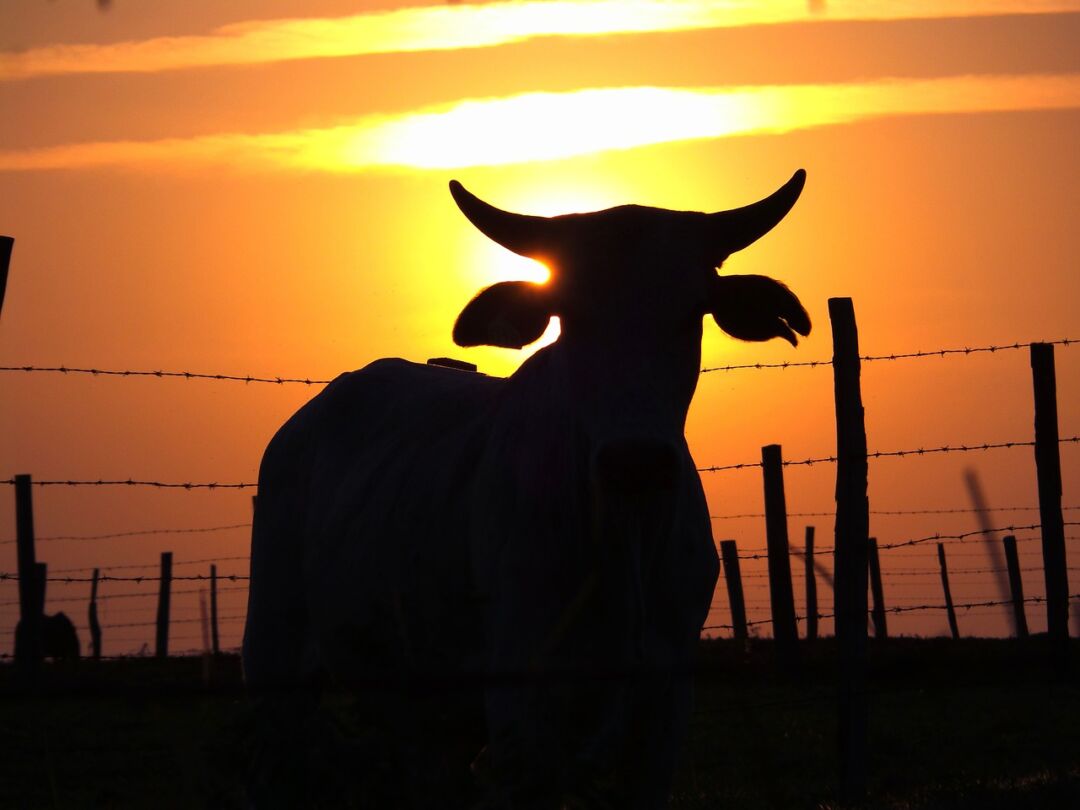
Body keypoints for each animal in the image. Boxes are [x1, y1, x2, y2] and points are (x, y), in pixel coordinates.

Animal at [242, 170, 811, 808]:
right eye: (569, 312)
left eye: (695, 309)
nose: (635, 461)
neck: (620, 542)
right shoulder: (521, 712)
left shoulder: (663, 710)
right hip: (274, 662)